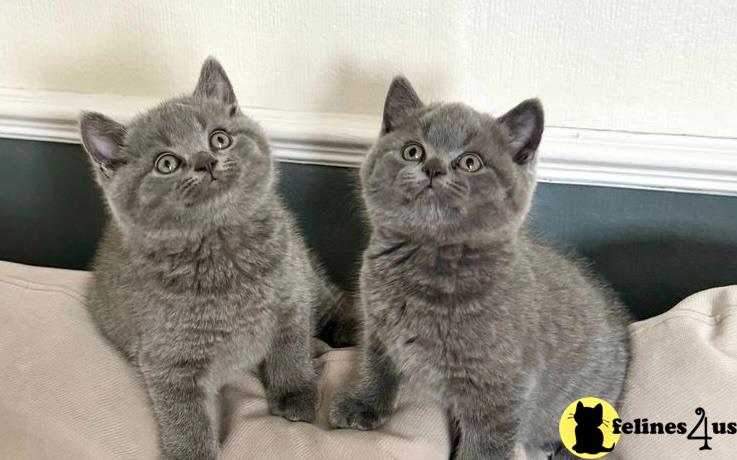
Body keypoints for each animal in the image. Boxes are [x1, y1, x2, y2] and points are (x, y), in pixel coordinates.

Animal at [80, 57, 354, 460]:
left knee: (331, 301)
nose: (206, 161)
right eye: (166, 163)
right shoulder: (167, 361)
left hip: (304, 271)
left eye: (219, 138)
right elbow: (185, 416)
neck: (223, 251)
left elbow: (290, 349)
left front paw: (294, 393)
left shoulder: (290, 300)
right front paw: (193, 453)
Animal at [330, 77, 628, 458]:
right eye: (413, 151)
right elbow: (376, 365)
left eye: (470, 162)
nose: (433, 167)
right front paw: (363, 404)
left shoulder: (501, 387)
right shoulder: (378, 329)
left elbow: (486, 443)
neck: (429, 262)